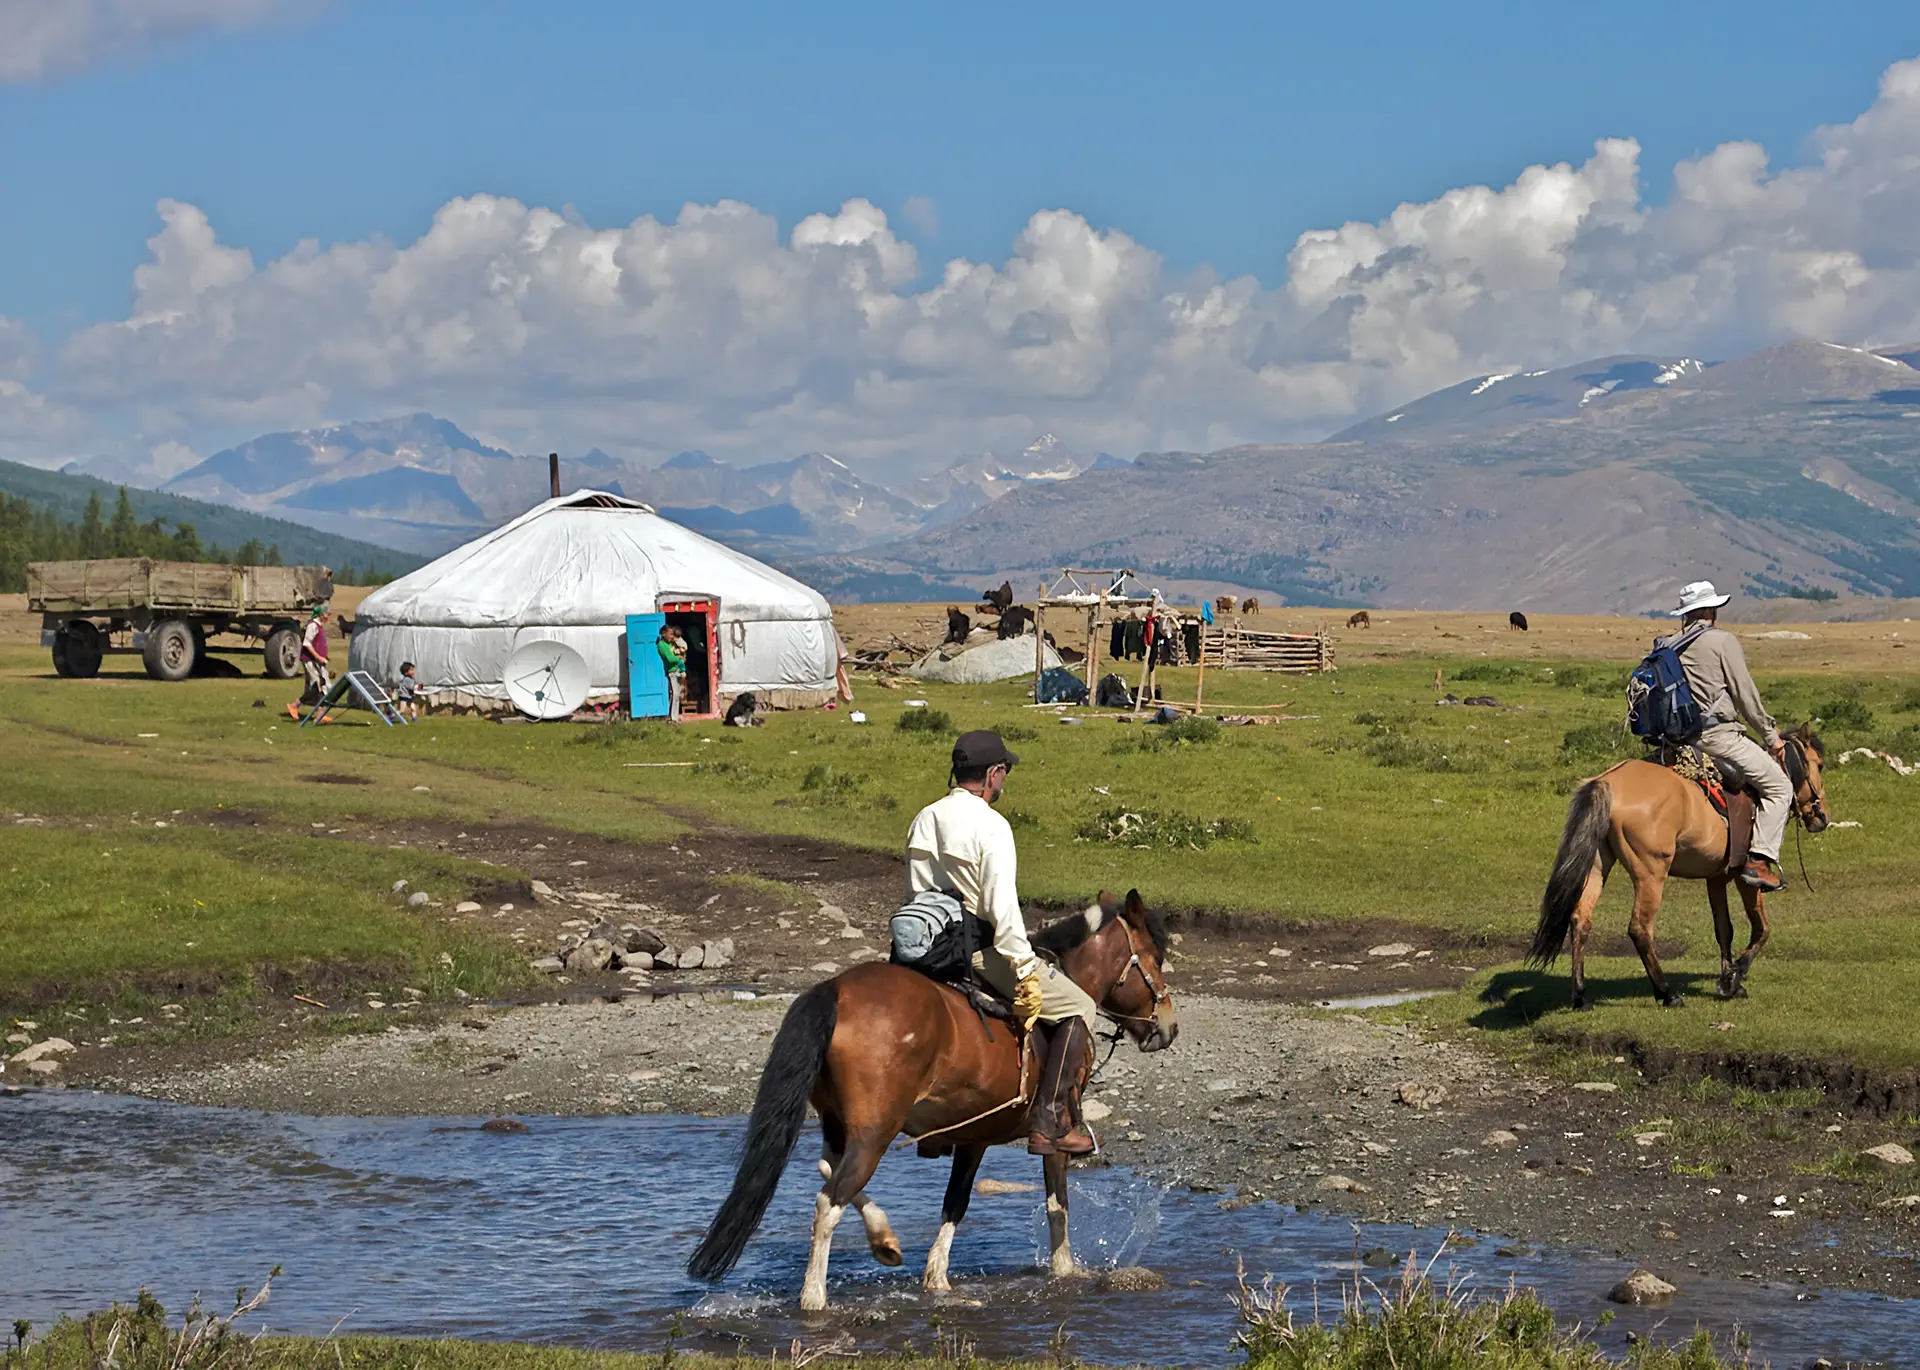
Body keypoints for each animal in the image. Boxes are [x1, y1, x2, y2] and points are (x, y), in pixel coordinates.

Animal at [683, 886, 1175, 1304]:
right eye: (1155, 958)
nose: (1168, 1027)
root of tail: (837, 990)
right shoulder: (1047, 1136)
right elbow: (1057, 1205)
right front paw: (1066, 1272)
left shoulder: (973, 1136)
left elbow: (954, 1204)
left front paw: (935, 1278)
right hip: (875, 1133)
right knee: (830, 1200)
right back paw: (814, 1297)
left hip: (840, 1123)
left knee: (828, 1168)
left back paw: (883, 1239)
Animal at [1528, 725, 1827, 1005]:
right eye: (1820, 764)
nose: (1822, 817)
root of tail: (1608, 782)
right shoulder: (1745, 877)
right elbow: (1761, 928)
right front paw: (1736, 976)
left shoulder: (1716, 878)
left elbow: (1724, 929)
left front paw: (1728, 980)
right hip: (1651, 874)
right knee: (1639, 929)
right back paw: (1666, 993)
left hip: (1598, 865)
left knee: (1581, 919)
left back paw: (1581, 996)